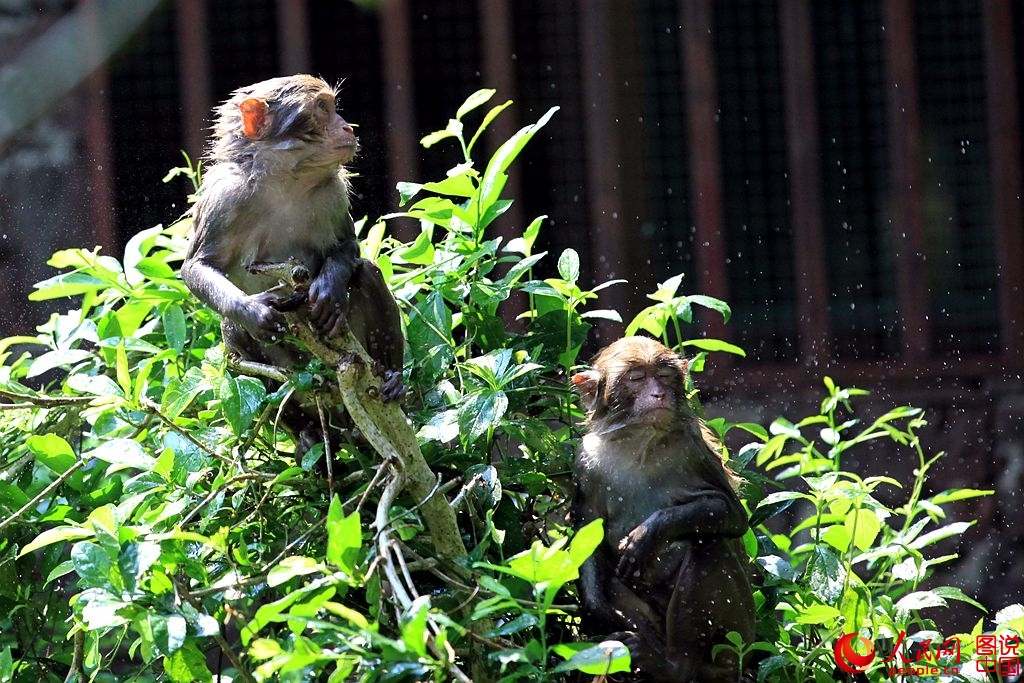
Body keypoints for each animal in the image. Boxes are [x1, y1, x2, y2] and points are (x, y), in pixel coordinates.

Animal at [573, 335, 757, 683]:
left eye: (664, 376)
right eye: (636, 378)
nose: (658, 394)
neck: (637, 442)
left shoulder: (691, 447)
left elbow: (731, 514)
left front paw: (649, 533)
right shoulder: (586, 461)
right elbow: (587, 533)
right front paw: (596, 609)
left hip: (738, 637)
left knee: (709, 546)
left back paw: (675, 665)